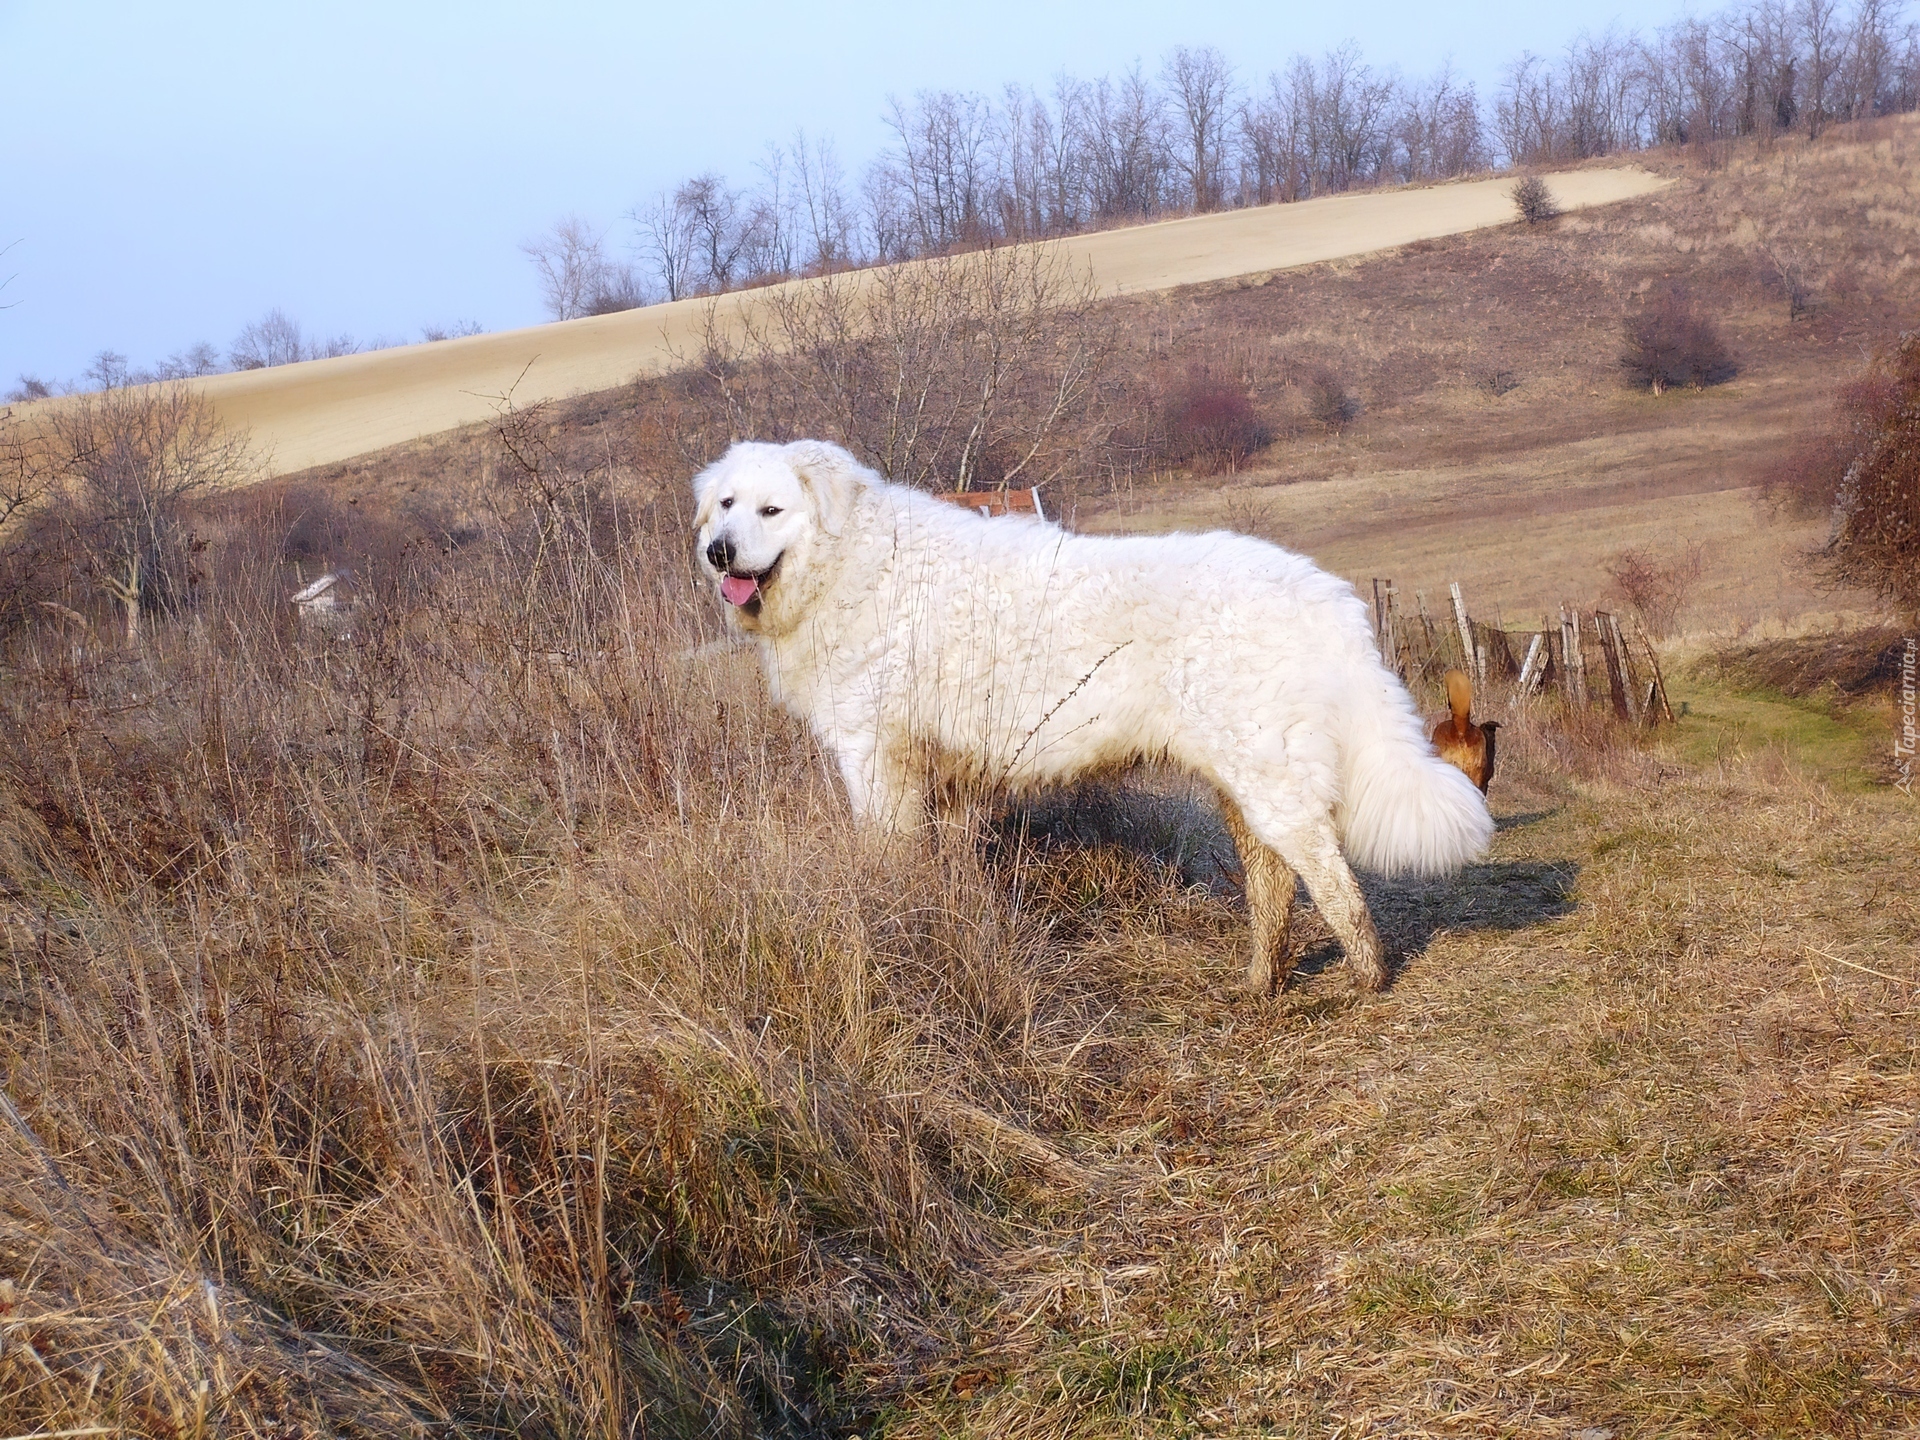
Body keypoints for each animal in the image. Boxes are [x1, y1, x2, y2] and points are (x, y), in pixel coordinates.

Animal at [695, 439, 1497, 990]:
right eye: (727, 504)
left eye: (772, 510)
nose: (718, 551)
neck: (853, 561)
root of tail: (1323, 592)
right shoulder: (943, 773)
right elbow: (945, 864)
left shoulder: (874, 755)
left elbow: (888, 855)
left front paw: (892, 916)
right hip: (1242, 777)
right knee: (1273, 880)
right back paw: (1259, 981)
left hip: (1271, 775)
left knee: (1331, 878)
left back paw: (1365, 978)